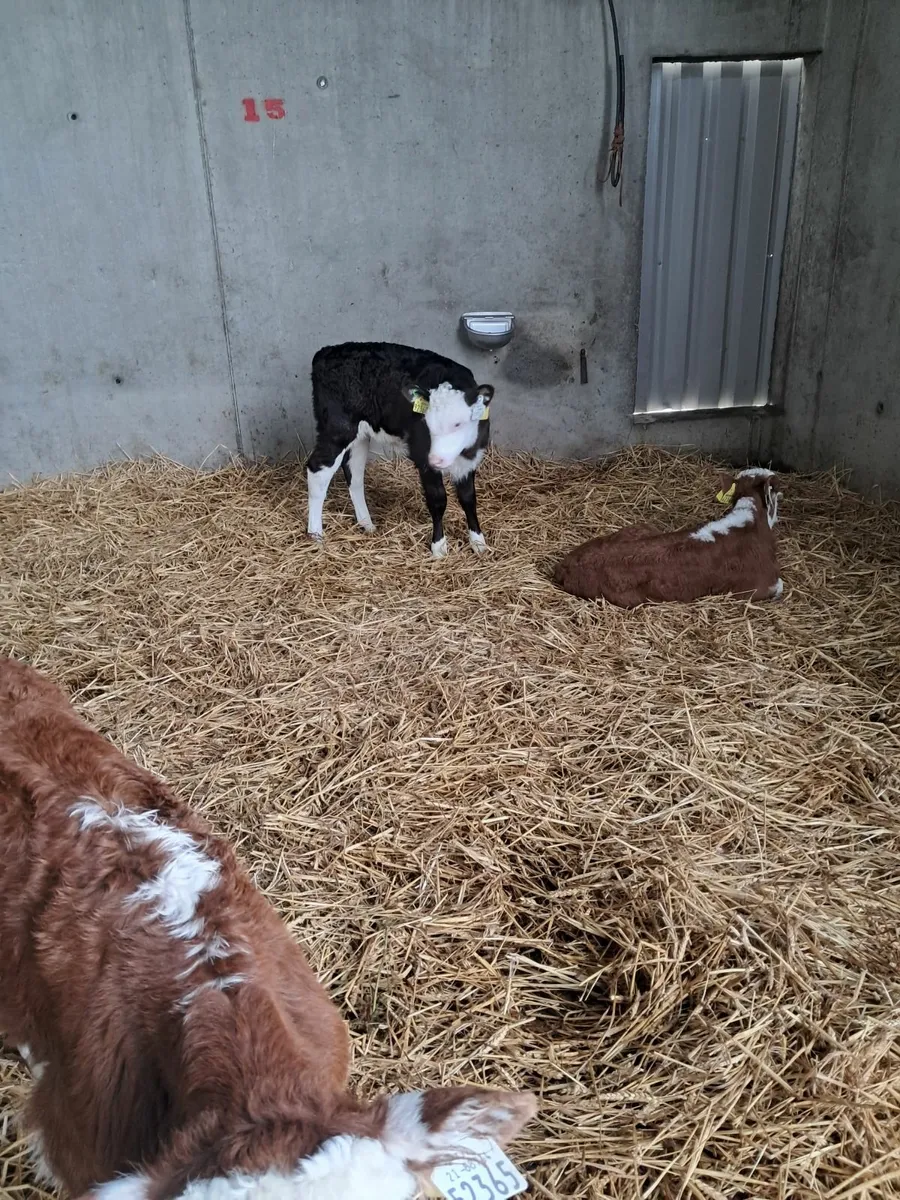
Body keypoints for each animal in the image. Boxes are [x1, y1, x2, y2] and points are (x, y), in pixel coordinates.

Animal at [305, 342, 495, 558]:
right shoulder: (423, 457)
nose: (435, 459)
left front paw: (478, 542)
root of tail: (325, 352)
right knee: (317, 470)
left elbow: (468, 498)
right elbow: (438, 500)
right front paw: (438, 547)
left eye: (458, 424)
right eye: (426, 424)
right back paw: (316, 535)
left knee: (354, 475)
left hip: (360, 435)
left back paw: (367, 524)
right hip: (338, 429)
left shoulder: (470, 460)